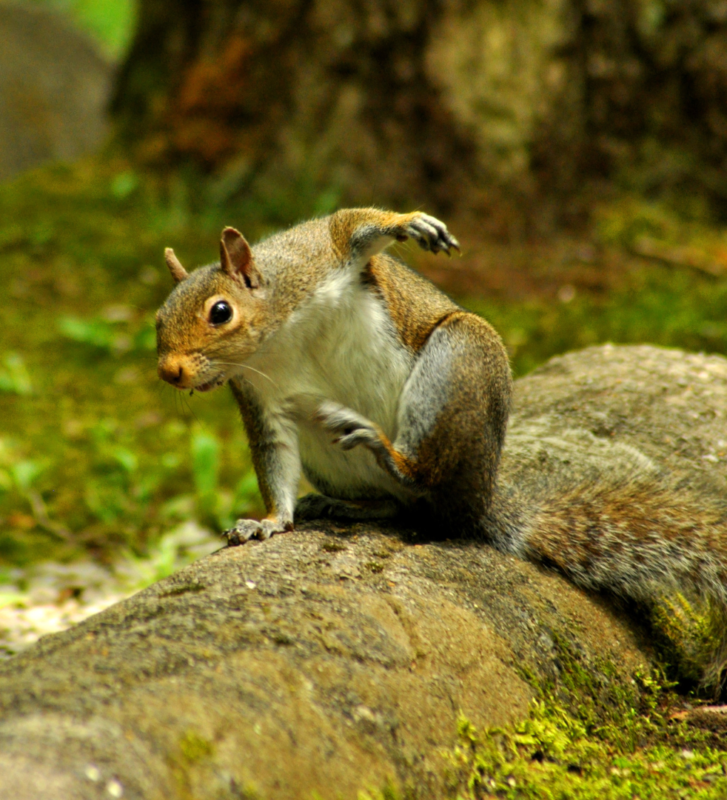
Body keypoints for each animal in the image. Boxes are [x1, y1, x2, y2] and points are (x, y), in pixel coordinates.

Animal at [156, 211, 727, 688]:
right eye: (158, 321)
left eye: (220, 312)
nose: (168, 372)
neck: (274, 335)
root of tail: (484, 497)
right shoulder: (262, 399)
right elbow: (275, 461)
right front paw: (269, 523)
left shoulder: (320, 254)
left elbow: (353, 226)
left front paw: (411, 224)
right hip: (332, 454)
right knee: (406, 506)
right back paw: (349, 504)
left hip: (459, 359)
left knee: (428, 485)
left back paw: (391, 454)